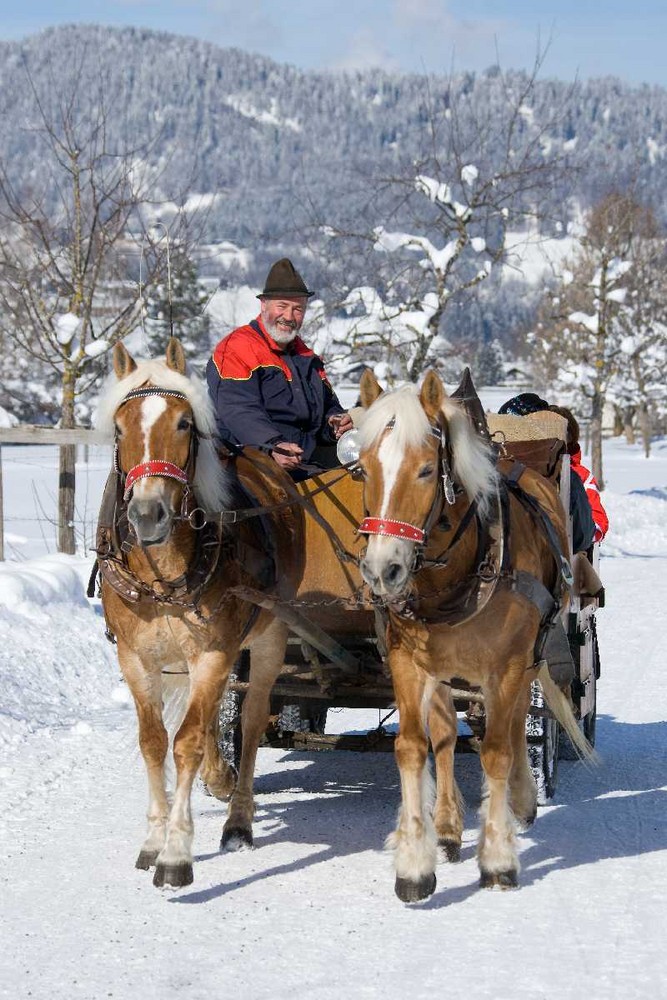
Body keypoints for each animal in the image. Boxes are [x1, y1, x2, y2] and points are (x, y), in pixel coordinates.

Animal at [94, 340, 302, 888]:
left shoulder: (212, 651)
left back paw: (238, 818)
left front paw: (175, 853)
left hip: (269, 637)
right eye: (119, 428)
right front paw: (152, 839)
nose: (147, 515)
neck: (163, 571)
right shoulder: (136, 658)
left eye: (185, 423)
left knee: (251, 719)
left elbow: (185, 741)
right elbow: (153, 742)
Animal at [358, 372, 592, 904]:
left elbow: (498, 750)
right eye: (363, 470)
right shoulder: (407, 661)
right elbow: (413, 747)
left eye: (427, 470)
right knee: (445, 734)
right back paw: (446, 826)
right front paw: (415, 864)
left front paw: (499, 859)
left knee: (515, 723)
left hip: (530, 656)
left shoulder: (507, 666)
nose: (383, 571)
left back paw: (521, 799)